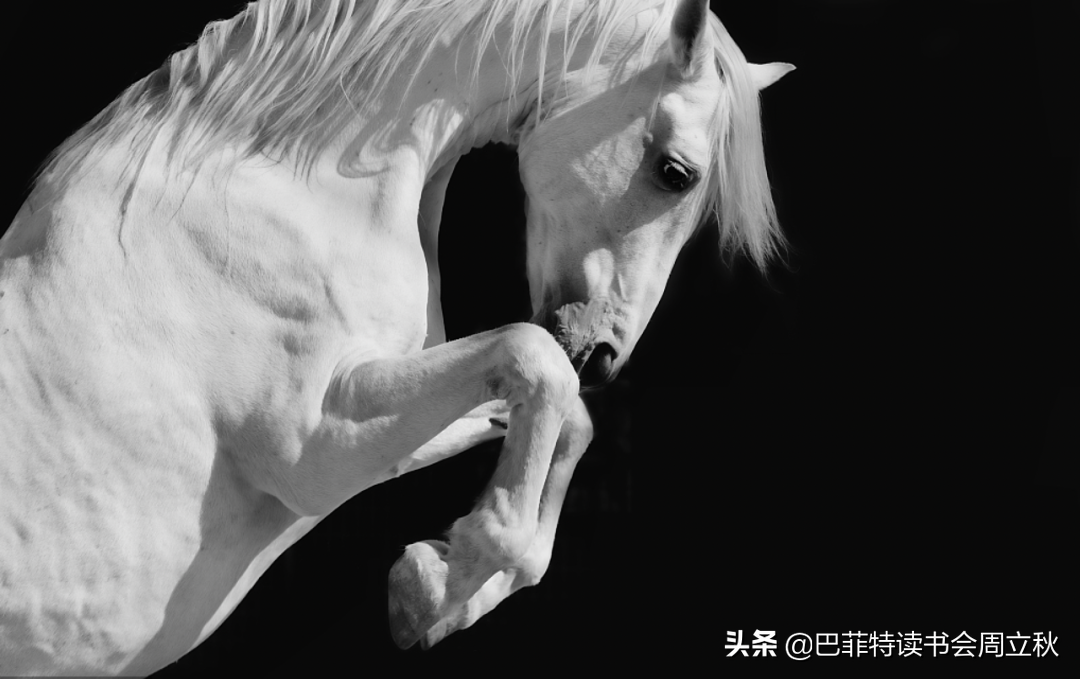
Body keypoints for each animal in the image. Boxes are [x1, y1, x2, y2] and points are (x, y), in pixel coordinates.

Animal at [0, 0, 791, 674]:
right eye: (675, 172)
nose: (602, 356)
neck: (261, 190)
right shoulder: (310, 454)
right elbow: (535, 360)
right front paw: (442, 580)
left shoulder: (385, 421)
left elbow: (565, 417)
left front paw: (433, 591)